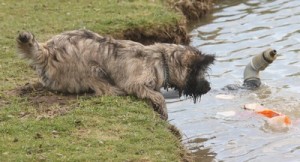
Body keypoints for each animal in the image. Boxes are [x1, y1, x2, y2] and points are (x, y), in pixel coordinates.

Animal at [16, 29, 214, 119]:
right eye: (199, 73)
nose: (208, 87)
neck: (161, 59)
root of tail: (46, 51)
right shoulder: (136, 82)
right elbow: (156, 95)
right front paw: (162, 110)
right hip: (90, 68)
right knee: (102, 88)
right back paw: (115, 90)